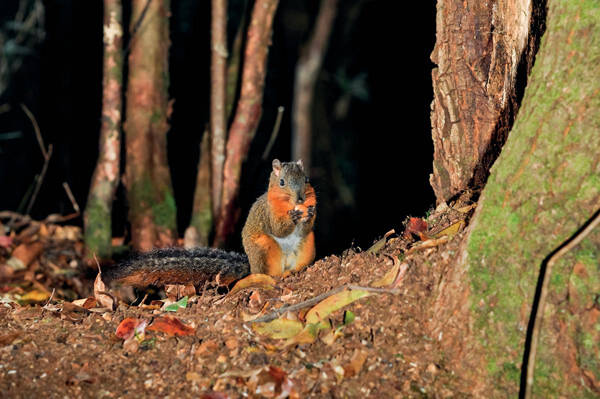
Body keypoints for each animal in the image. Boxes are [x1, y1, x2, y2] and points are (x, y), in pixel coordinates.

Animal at [102, 159, 318, 288]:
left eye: (306, 179)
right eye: (282, 182)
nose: (300, 199)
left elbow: (305, 227)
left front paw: (310, 213)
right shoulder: (268, 214)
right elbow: (278, 229)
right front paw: (295, 216)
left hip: (306, 248)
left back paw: (295, 271)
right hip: (265, 250)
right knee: (268, 272)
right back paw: (274, 278)